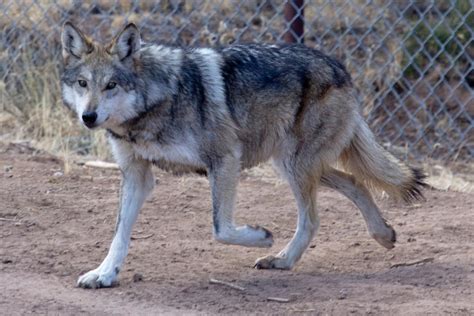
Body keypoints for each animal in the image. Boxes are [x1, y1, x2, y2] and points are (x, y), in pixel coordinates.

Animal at [60, 22, 426, 288]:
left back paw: (281, 257)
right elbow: (119, 235)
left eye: (111, 85)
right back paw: (380, 234)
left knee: (313, 217)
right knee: (354, 182)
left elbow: (221, 228)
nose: (89, 117)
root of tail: (339, 67)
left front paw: (261, 238)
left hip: (296, 166)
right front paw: (104, 274)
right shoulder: (136, 174)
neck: (154, 102)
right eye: (82, 83)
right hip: (293, 164)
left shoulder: (224, 160)